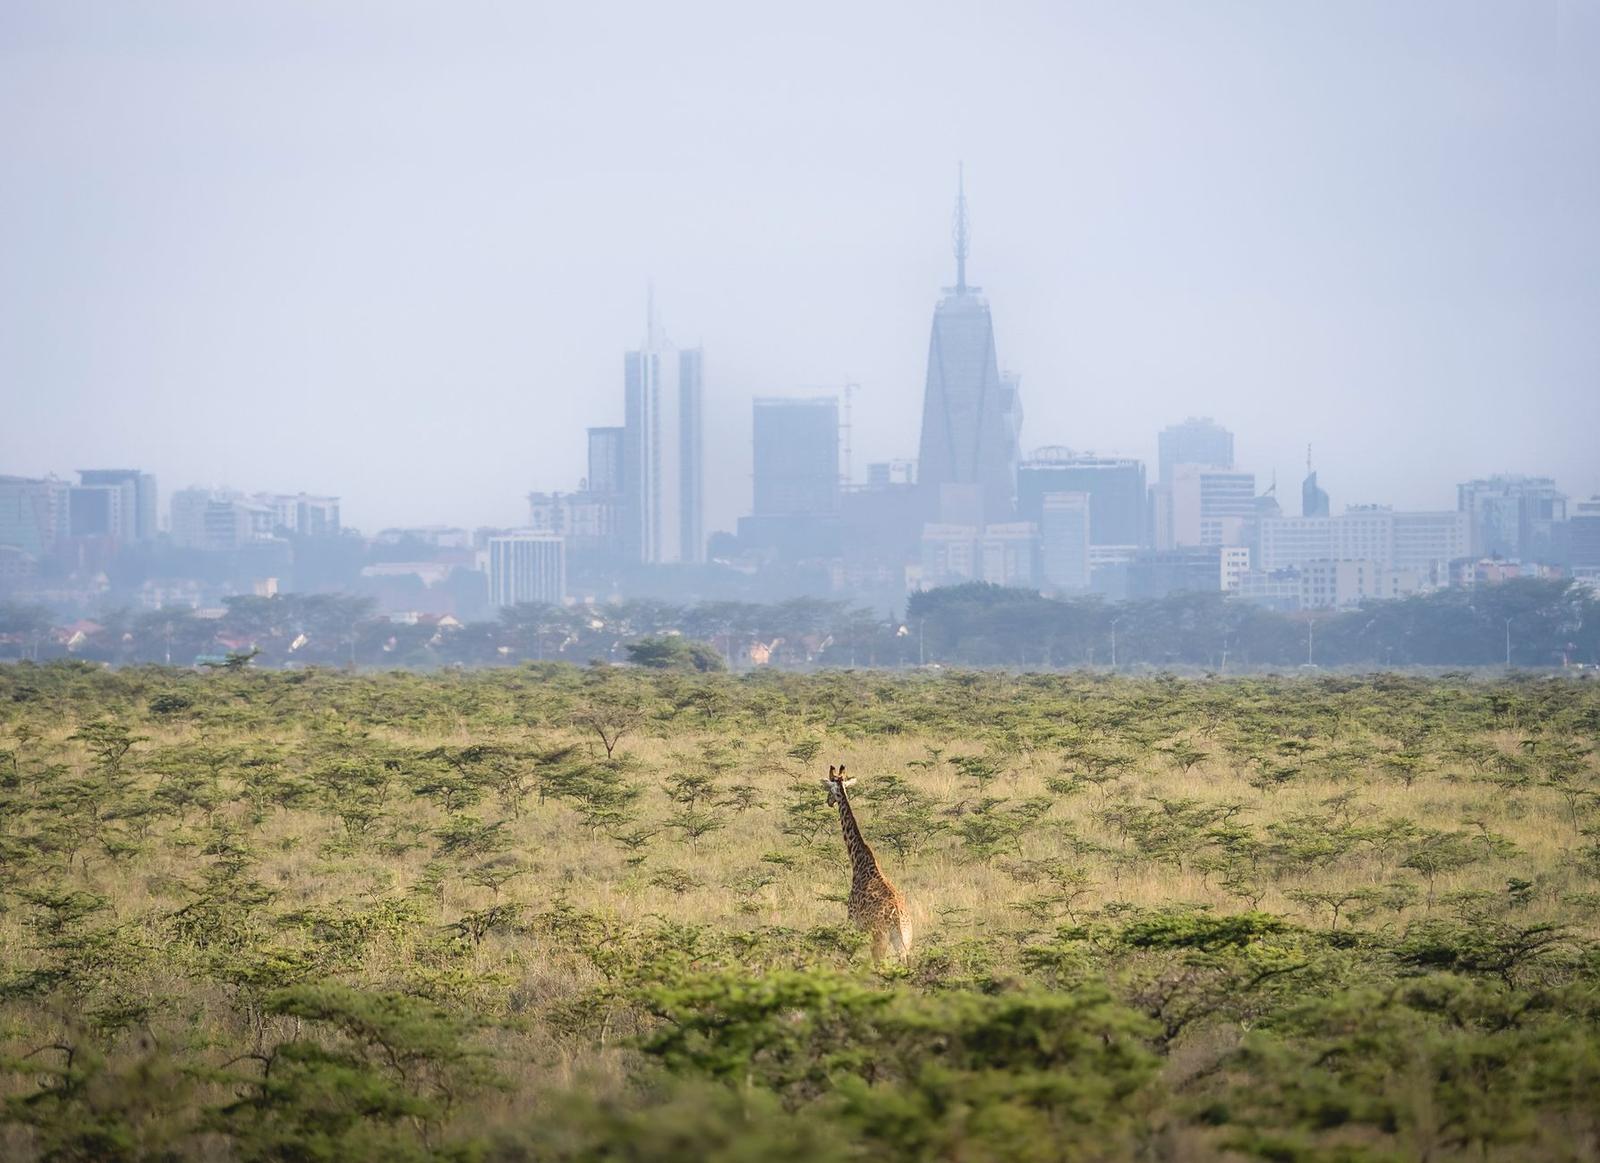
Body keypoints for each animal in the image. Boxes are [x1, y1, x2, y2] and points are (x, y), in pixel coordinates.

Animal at [823, 764, 913, 963]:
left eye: (828, 789)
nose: (828, 801)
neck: (859, 861)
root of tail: (898, 918)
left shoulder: (852, 920)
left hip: (879, 940)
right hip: (904, 942)